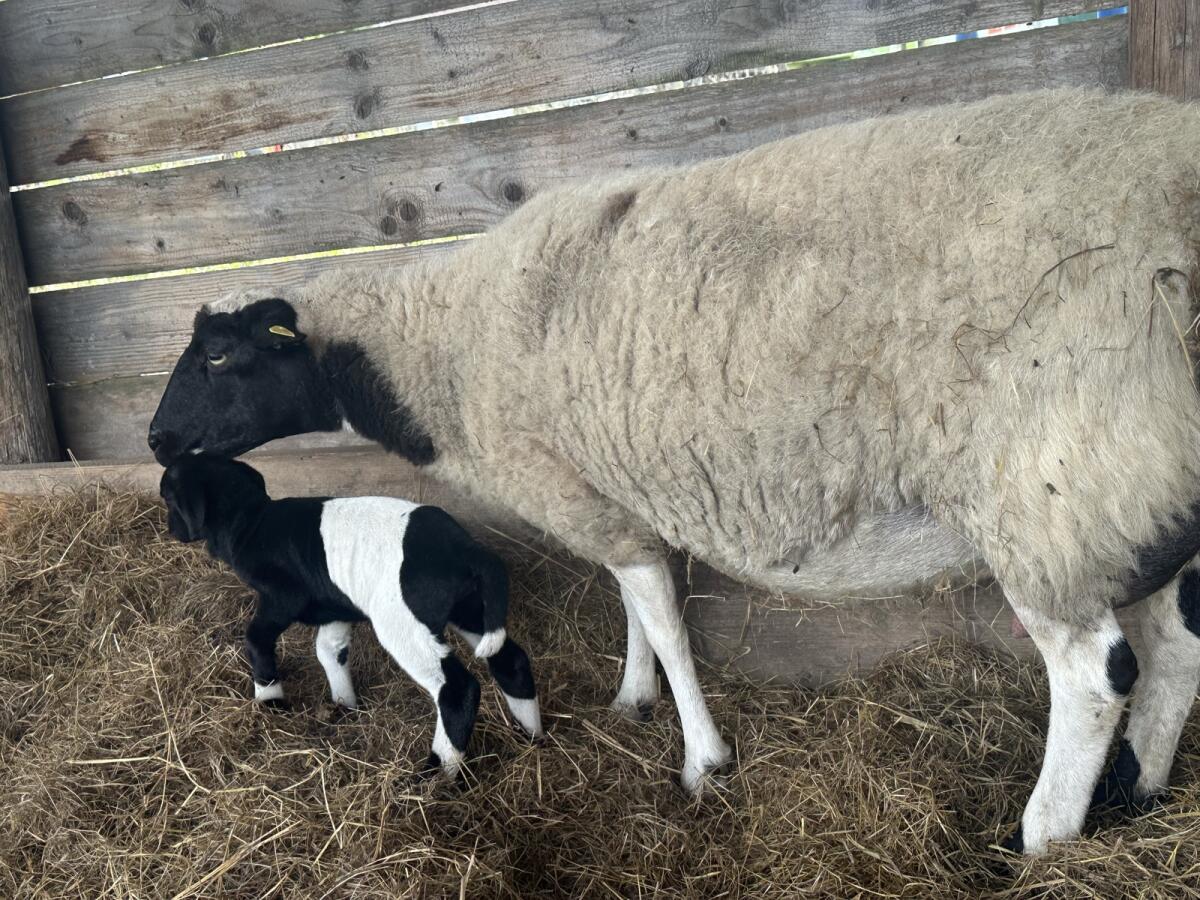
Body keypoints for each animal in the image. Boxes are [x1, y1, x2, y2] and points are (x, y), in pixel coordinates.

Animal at [158, 453, 543, 777]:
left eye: (168, 498)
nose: (172, 531)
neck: (251, 522)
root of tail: (468, 550)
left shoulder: (283, 597)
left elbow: (256, 639)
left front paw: (270, 701)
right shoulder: (334, 606)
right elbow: (330, 651)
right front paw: (344, 706)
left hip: (403, 622)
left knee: (457, 688)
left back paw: (434, 775)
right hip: (471, 609)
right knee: (510, 660)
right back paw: (532, 734)